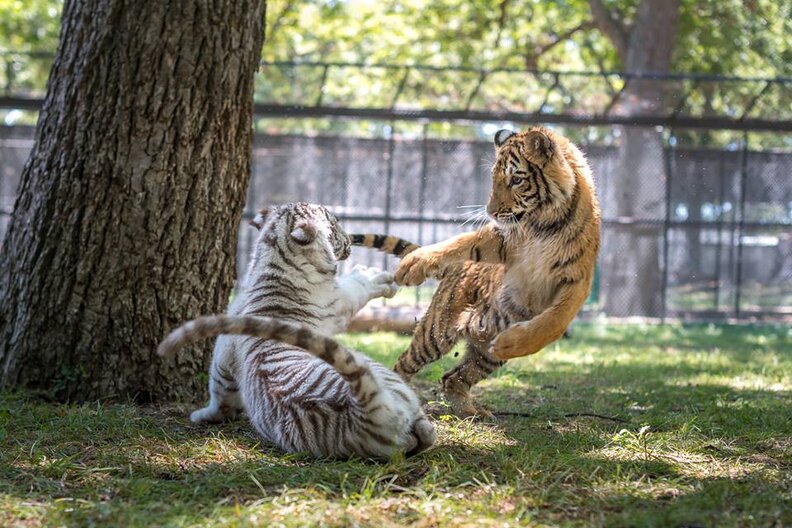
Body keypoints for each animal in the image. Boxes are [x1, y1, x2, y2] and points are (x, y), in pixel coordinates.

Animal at [158, 202, 435, 459]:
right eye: (335, 224)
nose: (350, 239)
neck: (273, 263)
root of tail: (363, 411)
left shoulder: (224, 347)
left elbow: (220, 390)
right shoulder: (336, 302)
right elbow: (356, 287)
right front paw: (375, 276)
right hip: (386, 377)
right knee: (425, 432)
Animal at [351, 127, 600, 419]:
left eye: (516, 179)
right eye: (495, 178)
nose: (490, 212)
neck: (543, 223)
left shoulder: (577, 280)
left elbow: (554, 323)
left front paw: (510, 343)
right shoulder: (502, 240)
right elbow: (462, 242)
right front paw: (414, 264)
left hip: (485, 354)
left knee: (452, 378)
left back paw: (473, 411)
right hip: (435, 333)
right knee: (404, 364)